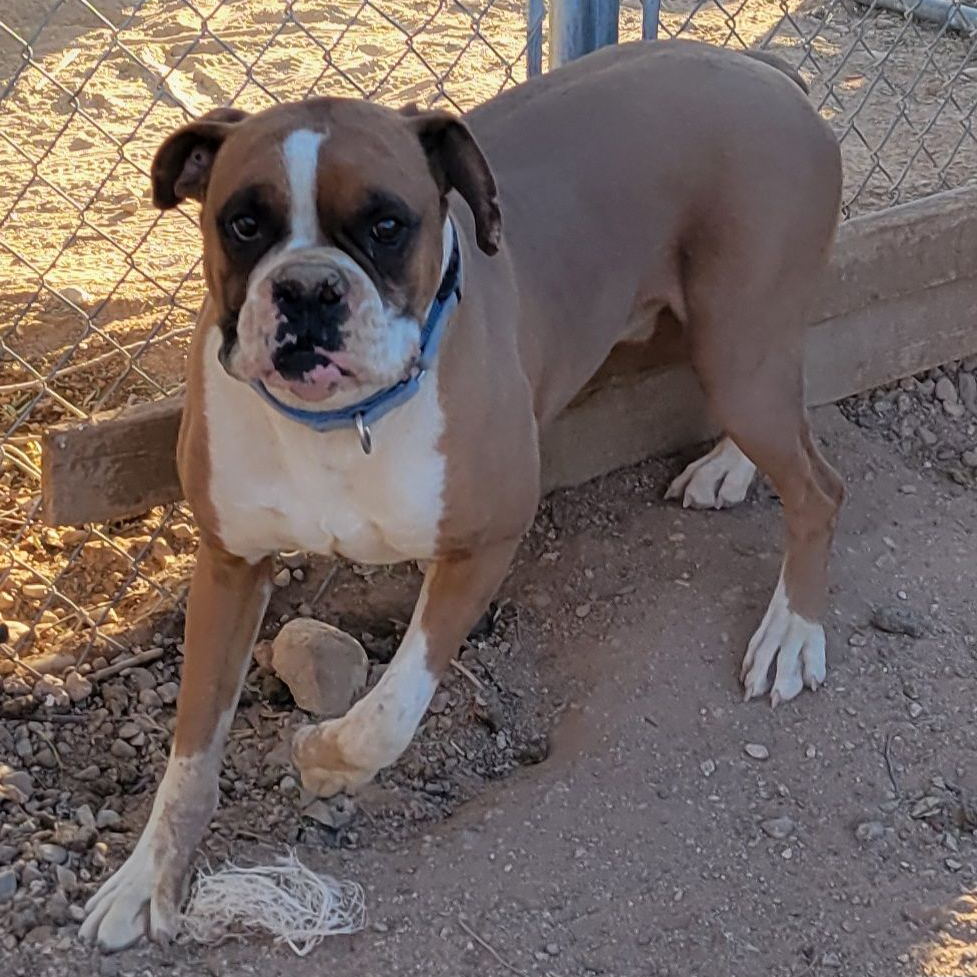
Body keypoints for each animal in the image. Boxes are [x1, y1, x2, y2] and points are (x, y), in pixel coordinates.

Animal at [80, 39, 844, 949]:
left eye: (386, 224)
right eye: (244, 222)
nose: (306, 288)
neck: (340, 423)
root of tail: (764, 71)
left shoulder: (484, 540)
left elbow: (390, 706)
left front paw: (322, 759)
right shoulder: (229, 564)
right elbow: (191, 750)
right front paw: (145, 877)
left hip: (738, 343)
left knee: (819, 488)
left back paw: (790, 633)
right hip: (739, 354)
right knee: (788, 429)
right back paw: (729, 466)